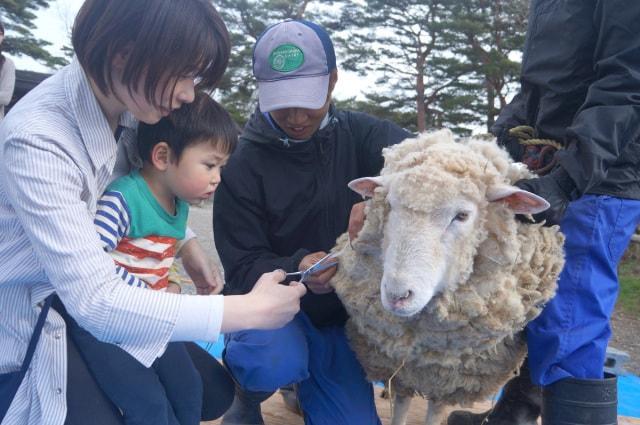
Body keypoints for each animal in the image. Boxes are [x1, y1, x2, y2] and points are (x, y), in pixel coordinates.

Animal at [330, 130, 564, 424]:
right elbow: (402, 404)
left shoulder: (449, 377)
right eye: (390, 205)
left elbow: (435, 413)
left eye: (462, 215)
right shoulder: (402, 364)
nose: (397, 295)